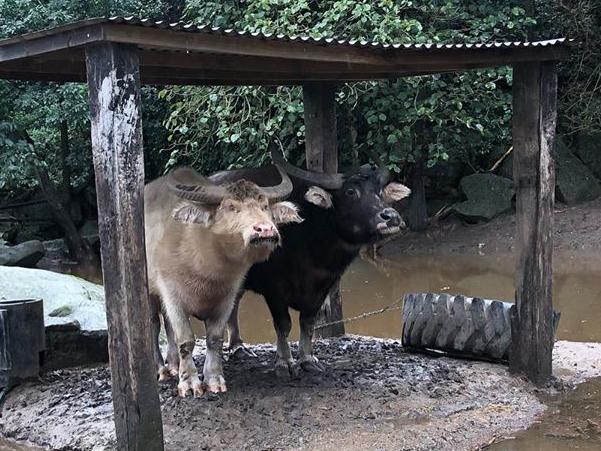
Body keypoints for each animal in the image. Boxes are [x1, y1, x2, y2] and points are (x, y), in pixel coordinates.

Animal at [209, 149, 410, 378]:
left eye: (380, 192)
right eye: (351, 192)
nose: (391, 217)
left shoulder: (323, 287)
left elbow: (308, 323)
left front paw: (307, 359)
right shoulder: (274, 289)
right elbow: (284, 325)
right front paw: (284, 362)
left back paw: (238, 347)